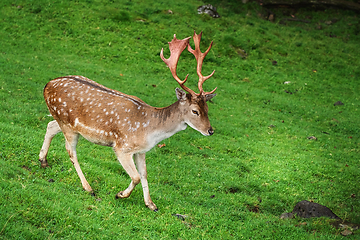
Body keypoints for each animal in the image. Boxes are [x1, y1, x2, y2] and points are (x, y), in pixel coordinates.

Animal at [40, 31, 217, 211]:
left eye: (207, 109)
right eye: (195, 111)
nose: (210, 131)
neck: (151, 131)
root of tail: (46, 85)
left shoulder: (141, 151)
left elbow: (144, 174)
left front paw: (151, 204)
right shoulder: (122, 147)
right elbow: (136, 177)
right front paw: (120, 194)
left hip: (65, 122)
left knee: (50, 125)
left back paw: (43, 161)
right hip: (67, 124)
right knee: (71, 150)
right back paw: (88, 187)